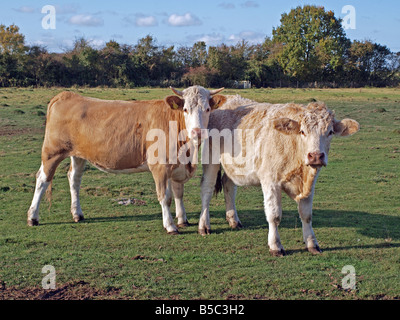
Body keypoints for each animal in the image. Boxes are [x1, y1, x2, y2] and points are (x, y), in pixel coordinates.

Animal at [27, 86, 228, 234]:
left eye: (207, 109)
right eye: (185, 109)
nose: (197, 132)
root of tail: (65, 95)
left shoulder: (176, 166)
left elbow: (178, 193)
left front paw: (182, 219)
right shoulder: (160, 167)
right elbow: (165, 197)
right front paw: (170, 226)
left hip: (78, 154)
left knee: (74, 179)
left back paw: (77, 214)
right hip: (52, 152)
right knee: (42, 179)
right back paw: (33, 217)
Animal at [199, 96, 360, 256]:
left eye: (330, 132)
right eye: (302, 131)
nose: (315, 156)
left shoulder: (310, 184)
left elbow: (306, 215)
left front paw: (312, 244)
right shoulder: (270, 182)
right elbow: (274, 215)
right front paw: (275, 245)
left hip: (234, 167)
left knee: (228, 185)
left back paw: (233, 220)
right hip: (210, 158)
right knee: (207, 190)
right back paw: (204, 226)